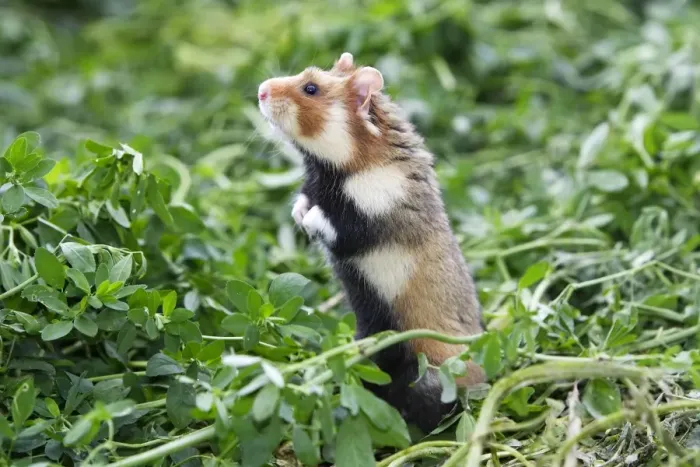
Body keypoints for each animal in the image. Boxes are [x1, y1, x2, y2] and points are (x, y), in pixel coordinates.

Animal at [257, 52, 485, 433]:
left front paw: (309, 220)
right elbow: (305, 198)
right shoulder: (316, 184)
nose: (260, 90)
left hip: (430, 368)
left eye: (311, 88)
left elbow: (333, 223)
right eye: (305, 73)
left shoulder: (369, 218)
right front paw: (298, 213)